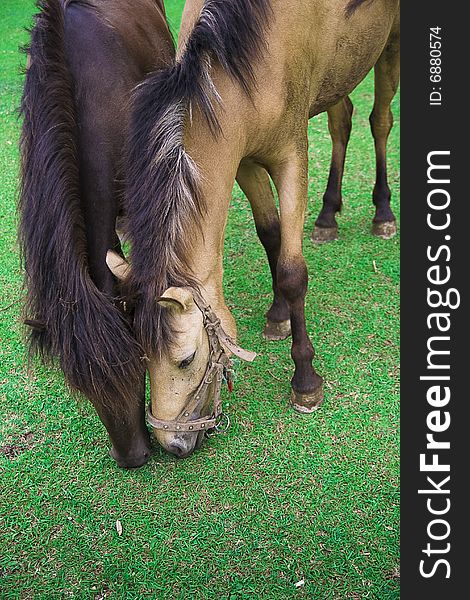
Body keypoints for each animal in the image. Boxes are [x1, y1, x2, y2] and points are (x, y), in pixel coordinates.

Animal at [107, 0, 400, 458]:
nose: (172, 443)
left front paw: (305, 381)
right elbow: (271, 237)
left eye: (186, 359)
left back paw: (382, 213)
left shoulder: (291, 156)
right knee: (343, 120)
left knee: (380, 120)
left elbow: (292, 270)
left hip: (392, 45)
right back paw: (328, 215)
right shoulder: (242, 159)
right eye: (140, 356)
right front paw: (278, 316)